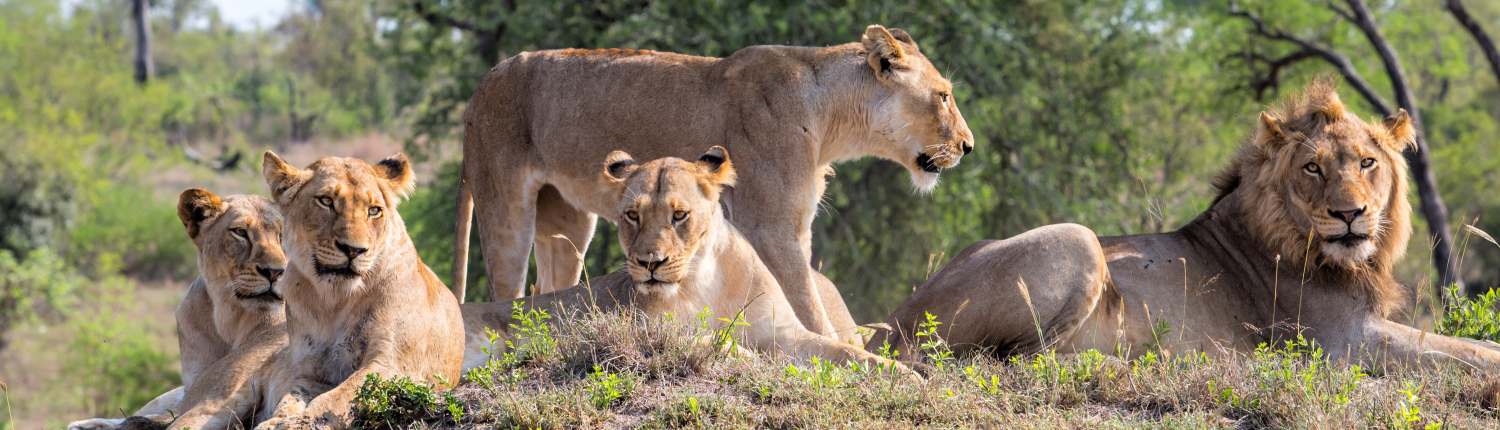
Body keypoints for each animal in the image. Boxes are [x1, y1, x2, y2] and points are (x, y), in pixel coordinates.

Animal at [67, 189, 289, 430]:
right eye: (240, 232)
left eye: (283, 235)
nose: (275, 272)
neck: (227, 316)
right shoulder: (192, 385)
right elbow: (160, 415)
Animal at [254, 151, 465, 430]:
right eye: (326, 201)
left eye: (374, 211)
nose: (353, 250)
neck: (334, 300)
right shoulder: (313, 372)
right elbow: (290, 398)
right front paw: (276, 421)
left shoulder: (395, 364)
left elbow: (337, 398)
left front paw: (297, 423)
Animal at [452, 25, 975, 340]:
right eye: (943, 96)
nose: (968, 146)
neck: (831, 122)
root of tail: (483, 82)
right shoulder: (771, 227)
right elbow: (808, 305)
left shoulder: (796, 227)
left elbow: (804, 296)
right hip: (505, 209)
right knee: (506, 289)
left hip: (568, 224)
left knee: (549, 288)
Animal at [460, 147, 915, 378]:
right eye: (632, 215)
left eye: (679, 215)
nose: (650, 263)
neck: (702, 278)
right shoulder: (647, 331)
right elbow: (713, 343)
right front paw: (754, 360)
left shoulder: (786, 333)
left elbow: (845, 351)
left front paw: (903, 374)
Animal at [868, 78, 1500, 372]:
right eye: (1313, 167)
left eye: (1368, 163)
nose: (1350, 214)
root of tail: (884, 330)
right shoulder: (1340, 342)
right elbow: (1461, 353)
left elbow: (1468, 346)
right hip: (1076, 239)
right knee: (1014, 359)